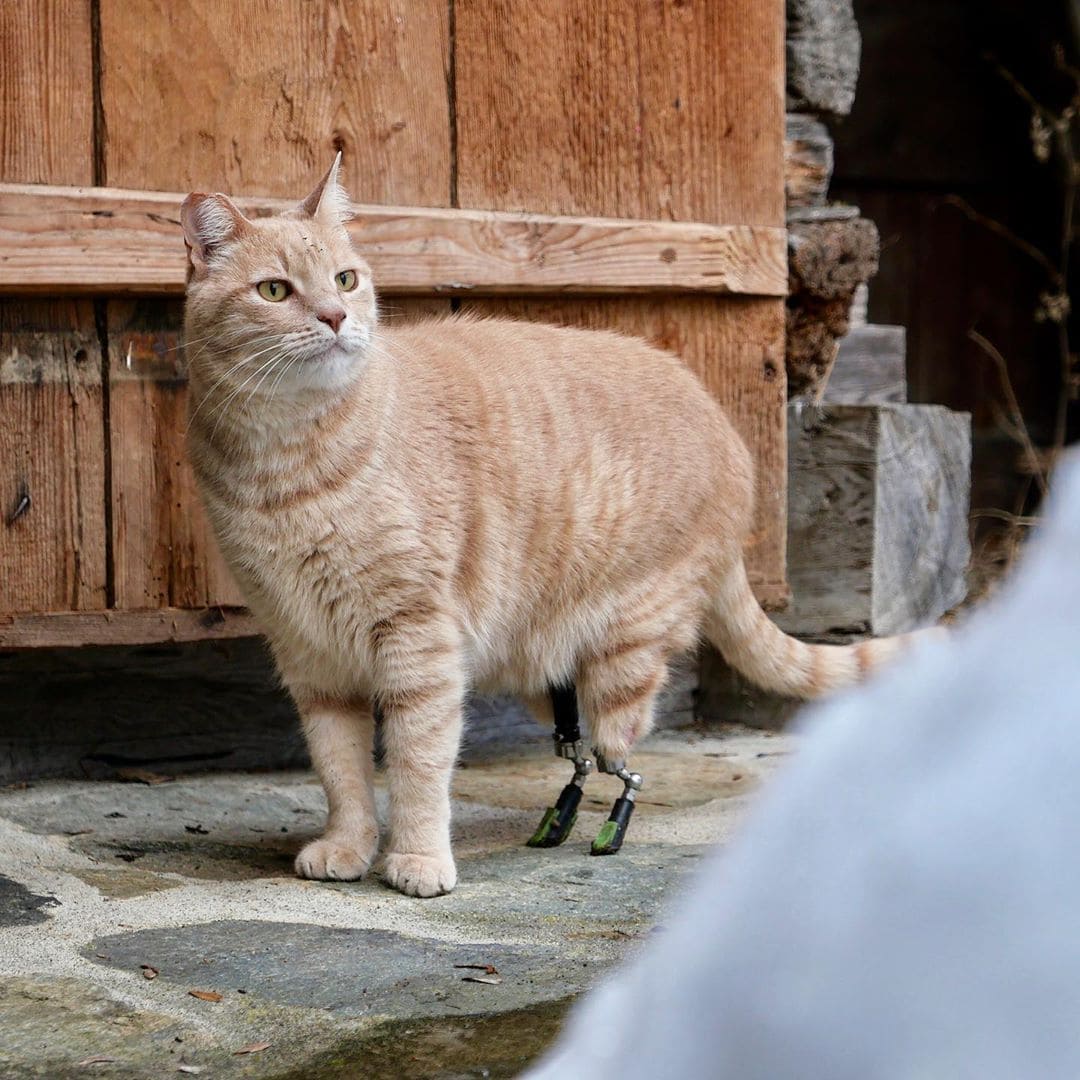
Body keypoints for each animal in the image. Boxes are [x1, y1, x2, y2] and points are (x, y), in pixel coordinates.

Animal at [181, 157, 924, 894]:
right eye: (275, 291)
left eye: (345, 280)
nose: (336, 317)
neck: (286, 463)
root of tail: (728, 433)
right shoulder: (309, 653)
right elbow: (340, 770)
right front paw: (349, 845)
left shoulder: (419, 641)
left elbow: (419, 761)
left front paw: (417, 857)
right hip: (539, 673)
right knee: (579, 750)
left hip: (623, 647)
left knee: (616, 751)